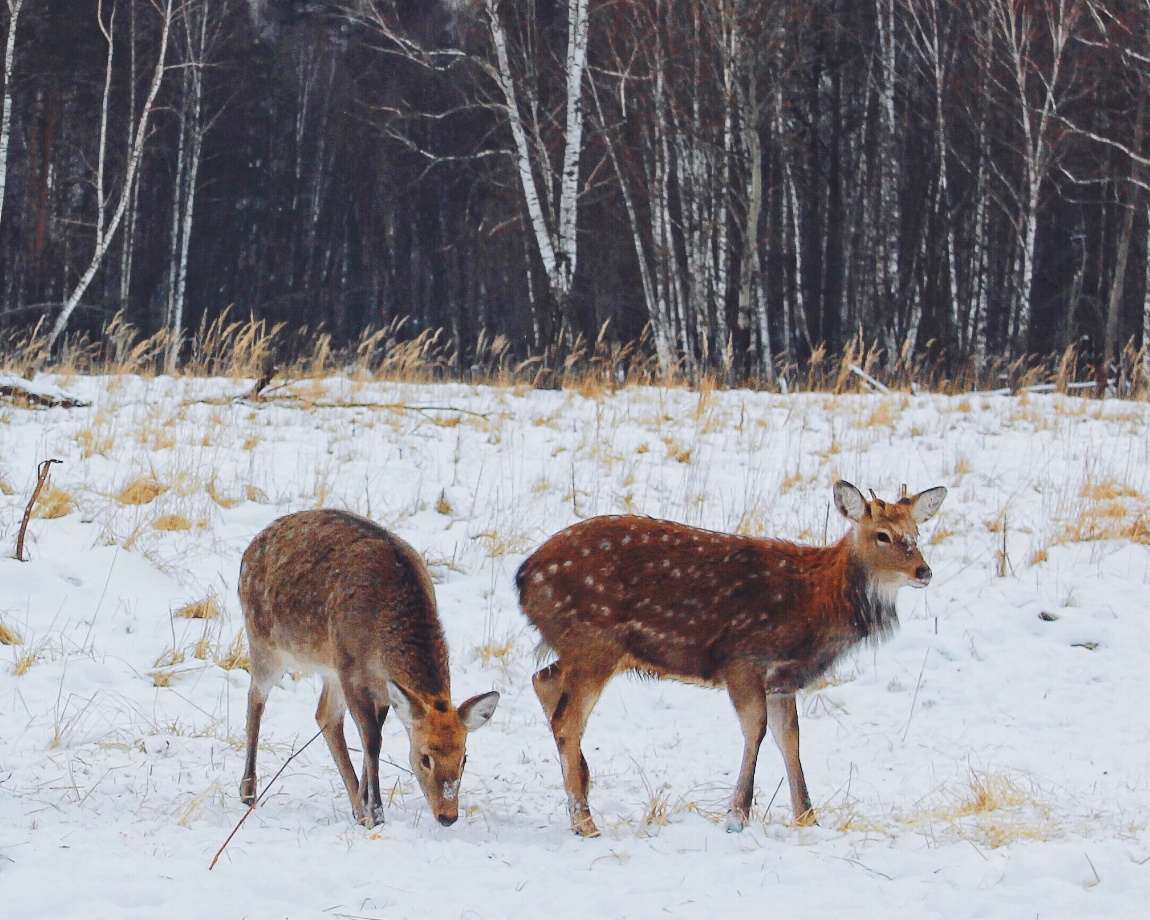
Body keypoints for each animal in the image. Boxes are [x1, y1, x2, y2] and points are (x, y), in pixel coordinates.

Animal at [238, 506, 499, 828]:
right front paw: (376, 812)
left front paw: (365, 806)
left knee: (325, 715)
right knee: (256, 698)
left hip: (328, 667)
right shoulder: (352, 672)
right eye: (425, 757)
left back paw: (354, 805)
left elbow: (371, 735)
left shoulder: (381, 687)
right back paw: (248, 791)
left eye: (464, 757)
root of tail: (250, 550)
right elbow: (373, 739)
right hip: (264, 641)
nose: (448, 816)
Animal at [517, 480, 947, 832]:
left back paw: (583, 788)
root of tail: (523, 576)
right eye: (882, 535)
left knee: (543, 681)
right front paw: (737, 816)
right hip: (595, 641)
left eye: (916, 532)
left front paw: (808, 818)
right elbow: (755, 730)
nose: (924, 571)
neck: (816, 601)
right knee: (567, 718)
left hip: (586, 648)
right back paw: (585, 822)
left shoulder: (781, 678)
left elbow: (790, 739)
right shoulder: (743, 660)